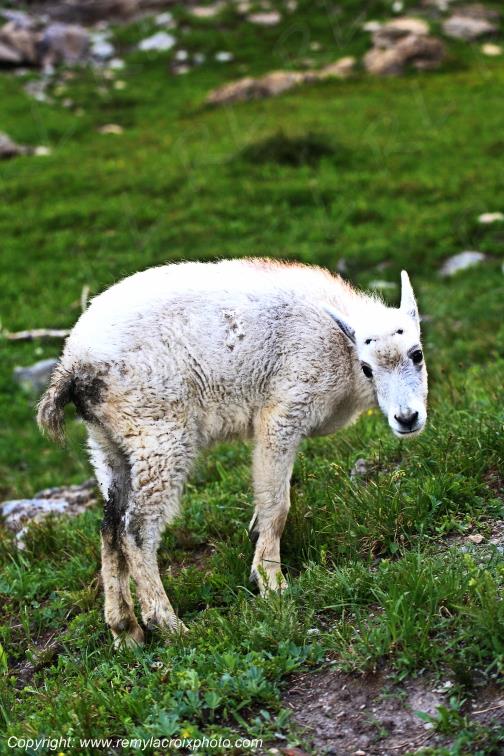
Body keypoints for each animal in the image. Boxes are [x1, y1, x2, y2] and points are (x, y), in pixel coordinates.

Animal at [38, 259, 428, 647]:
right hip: (159, 434)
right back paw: (169, 624)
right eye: (367, 368)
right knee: (135, 529)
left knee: (109, 526)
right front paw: (271, 582)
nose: (407, 418)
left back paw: (125, 629)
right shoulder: (284, 410)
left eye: (417, 354)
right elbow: (277, 503)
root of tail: (73, 366)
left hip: (107, 443)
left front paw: (256, 541)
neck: (340, 344)